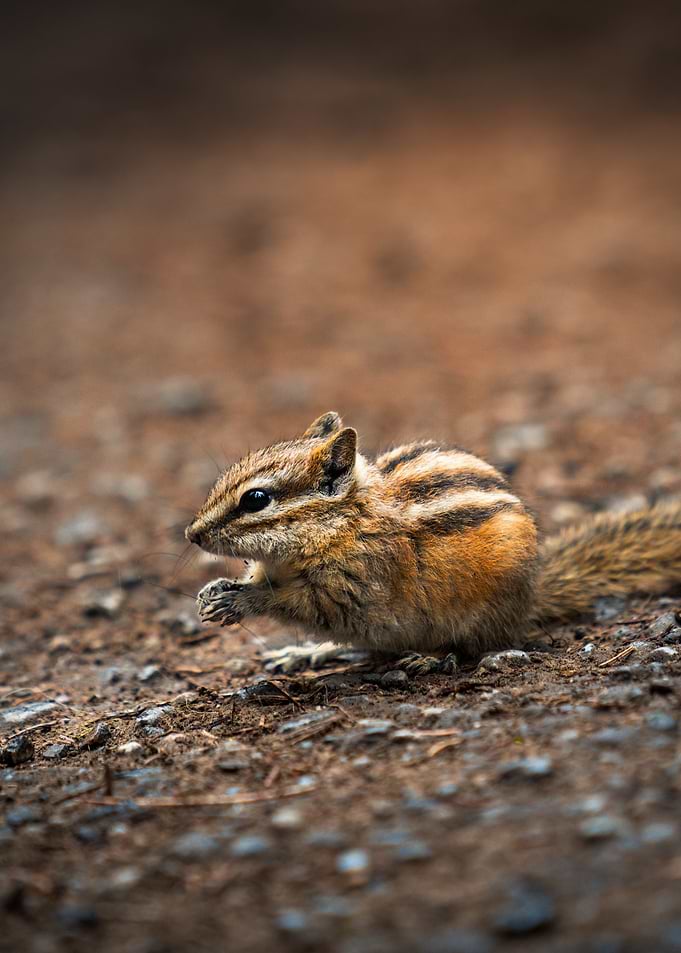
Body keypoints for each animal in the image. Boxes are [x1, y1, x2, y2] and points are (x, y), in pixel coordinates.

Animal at [185, 412, 681, 673]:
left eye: (256, 499)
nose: (192, 534)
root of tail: (532, 597)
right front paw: (215, 591)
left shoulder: (351, 586)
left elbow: (299, 603)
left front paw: (241, 601)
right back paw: (307, 653)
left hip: (478, 617)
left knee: (474, 647)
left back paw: (430, 659)